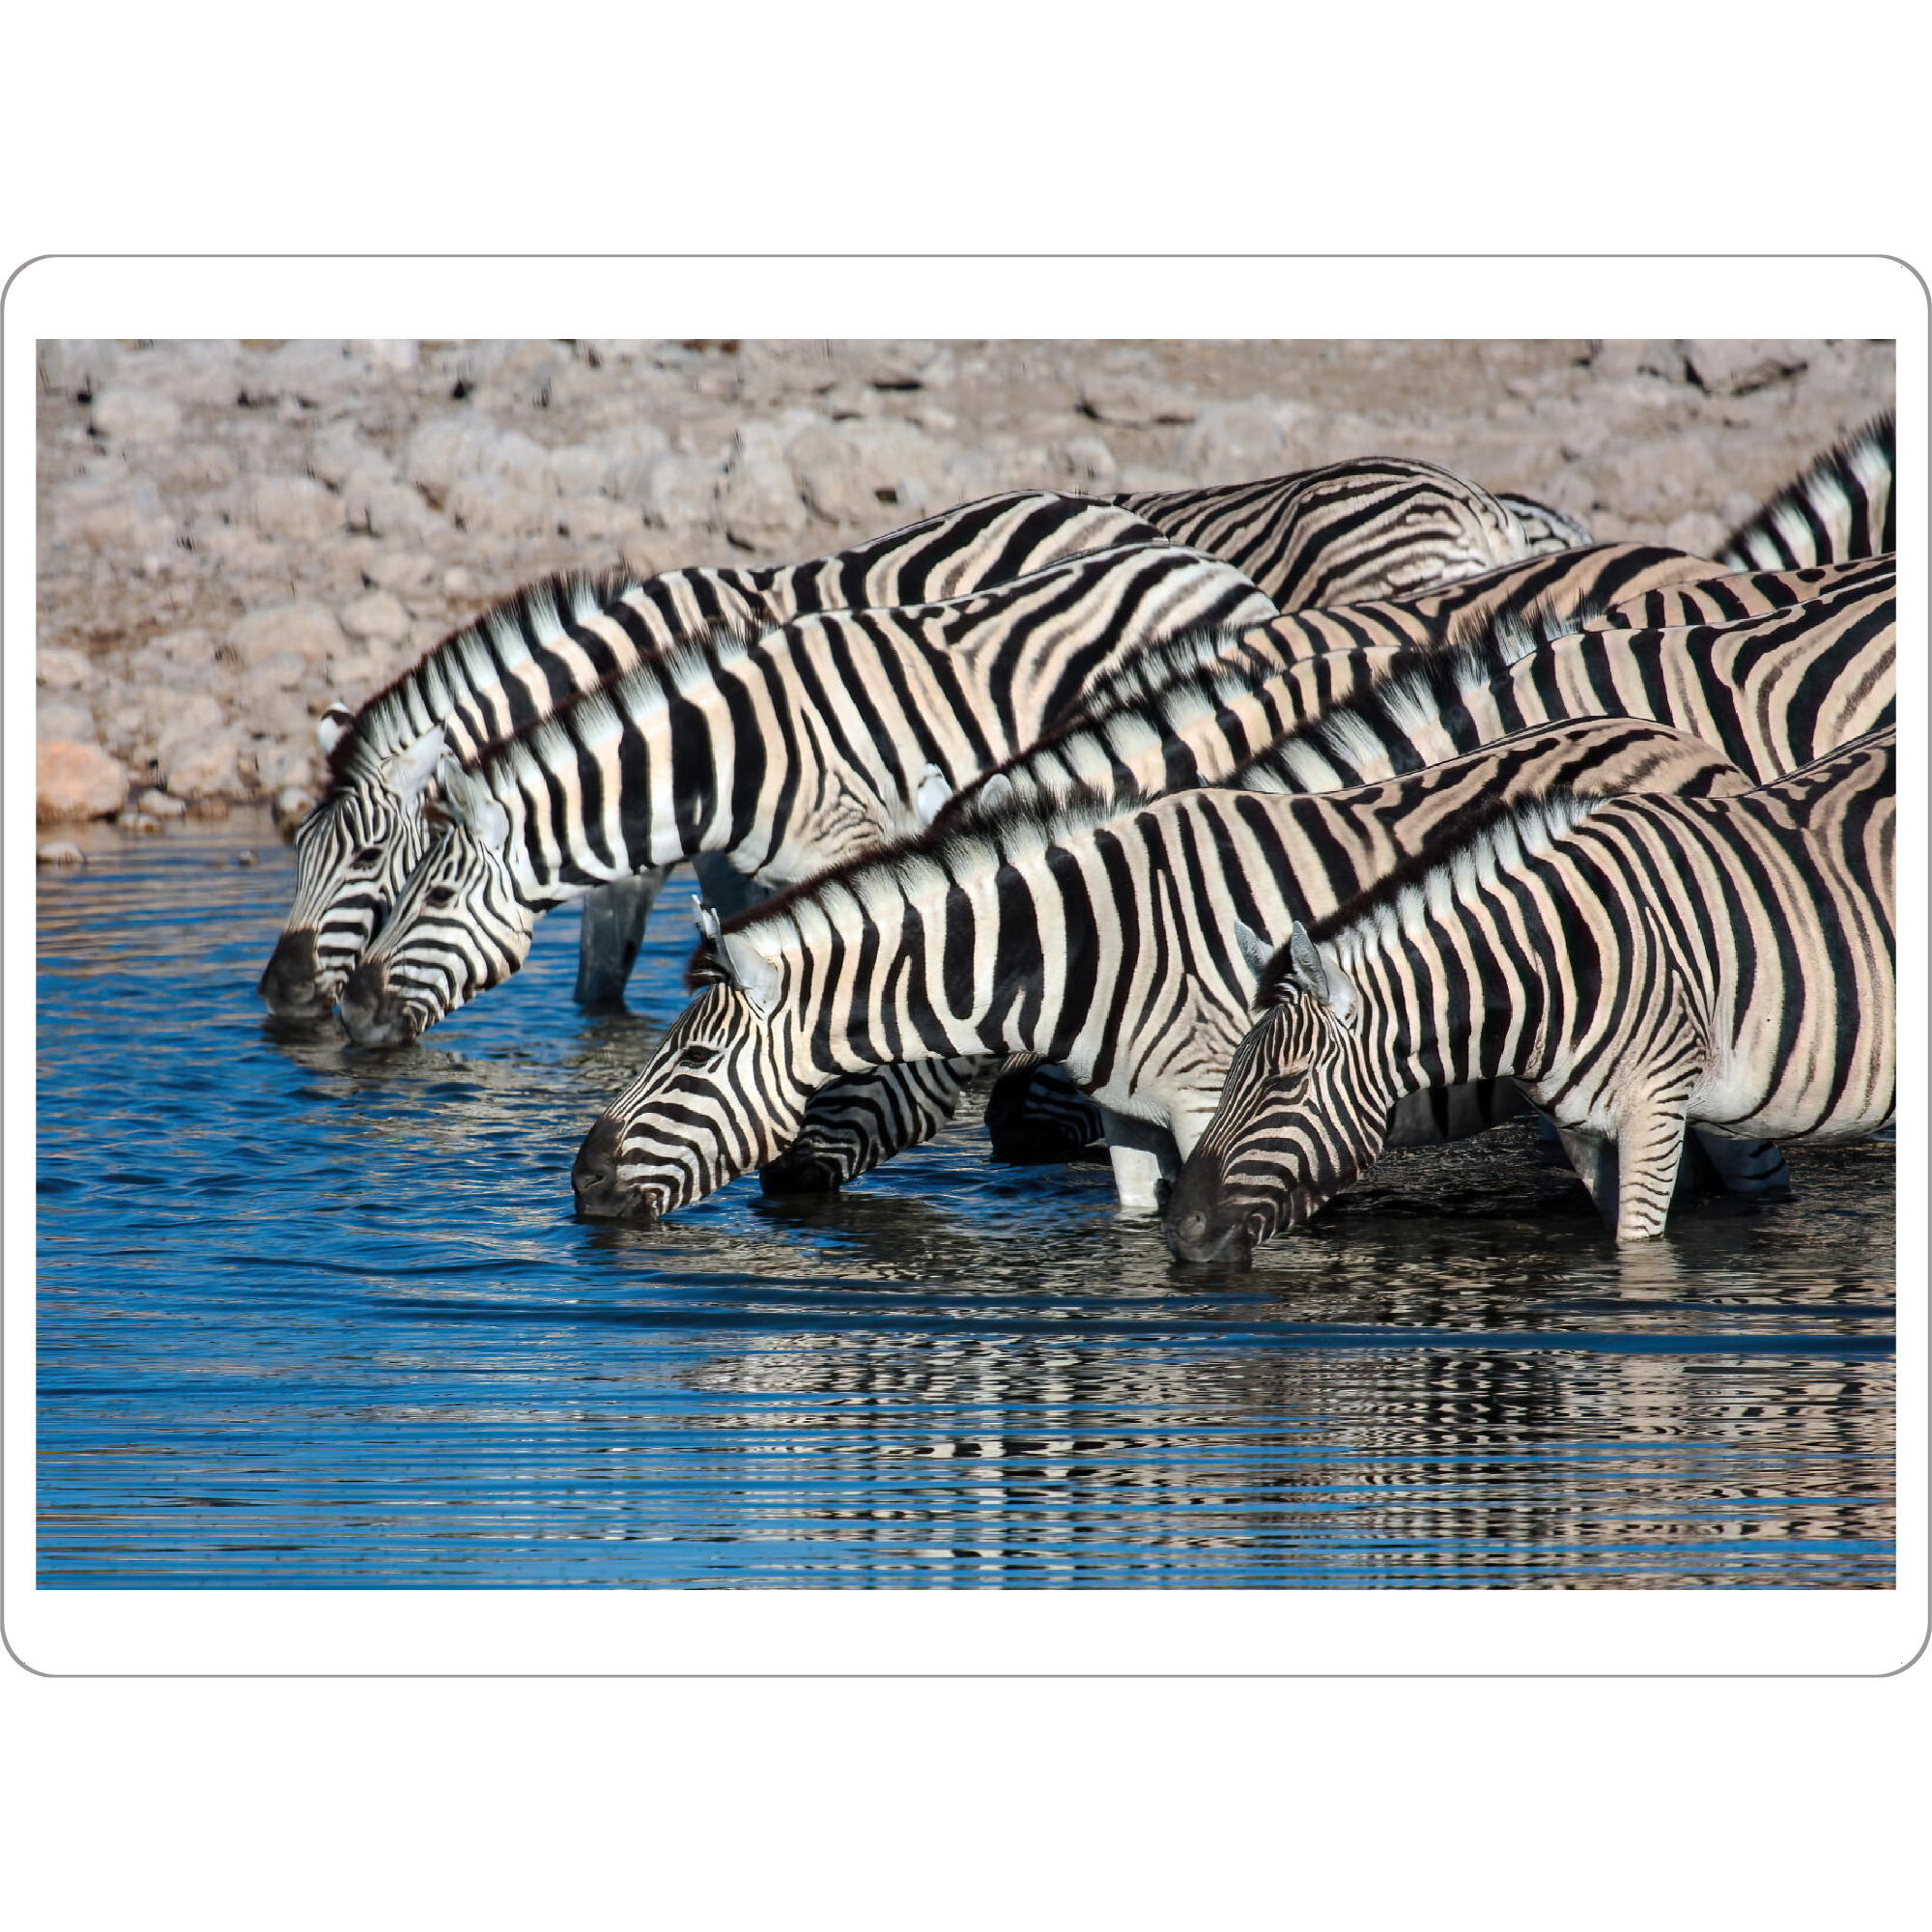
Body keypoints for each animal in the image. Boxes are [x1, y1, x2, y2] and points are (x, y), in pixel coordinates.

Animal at [568, 713, 1761, 1223]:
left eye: (692, 1063)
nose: (578, 1185)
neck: (1082, 946)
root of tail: (1690, 745)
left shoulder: (1216, 1109)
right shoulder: (1133, 1121)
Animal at [1162, 728, 1895, 1264]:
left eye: (1284, 1084)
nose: (1180, 1229)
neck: (1554, 968)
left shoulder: (1655, 1109)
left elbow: (1639, 1252)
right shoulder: (1586, 1133)